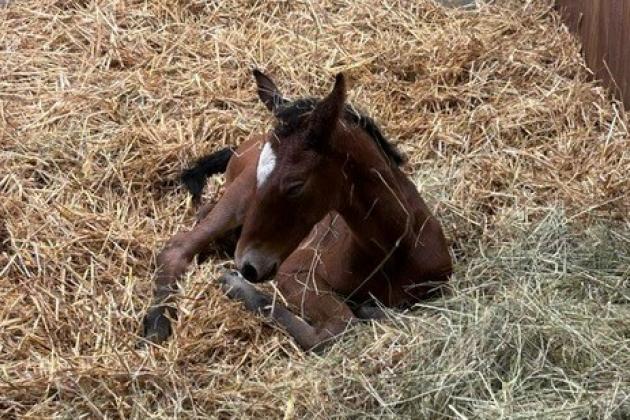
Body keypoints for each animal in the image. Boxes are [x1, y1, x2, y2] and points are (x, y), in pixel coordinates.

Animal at [144, 71, 454, 352]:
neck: (393, 249)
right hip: (236, 201)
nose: (247, 266)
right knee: (179, 247)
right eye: (260, 178)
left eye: (295, 185)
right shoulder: (293, 272)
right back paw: (156, 323)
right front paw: (235, 285)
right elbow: (338, 327)